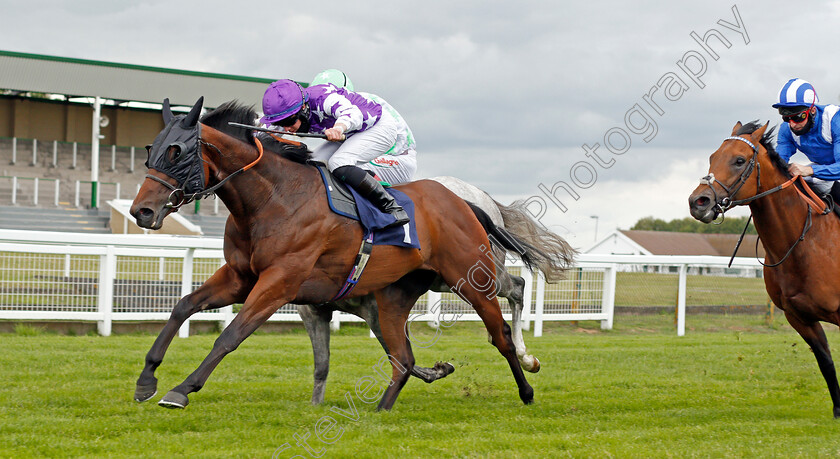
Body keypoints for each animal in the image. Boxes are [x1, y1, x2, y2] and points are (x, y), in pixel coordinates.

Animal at [131, 99, 576, 412]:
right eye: (151, 148)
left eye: (177, 151)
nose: (142, 211)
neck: (274, 198)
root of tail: (465, 201)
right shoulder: (244, 278)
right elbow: (183, 306)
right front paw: (146, 379)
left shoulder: (280, 283)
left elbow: (231, 335)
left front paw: (181, 389)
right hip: (402, 293)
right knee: (404, 353)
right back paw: (382, 407)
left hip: (470, 277)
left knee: (504, 318)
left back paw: (527, 382)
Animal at [688, 120, 840, 418]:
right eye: (712, 157)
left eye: (739, 160)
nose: (698, 202)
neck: (806, 243)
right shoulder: (799, 317)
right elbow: (826, 362)